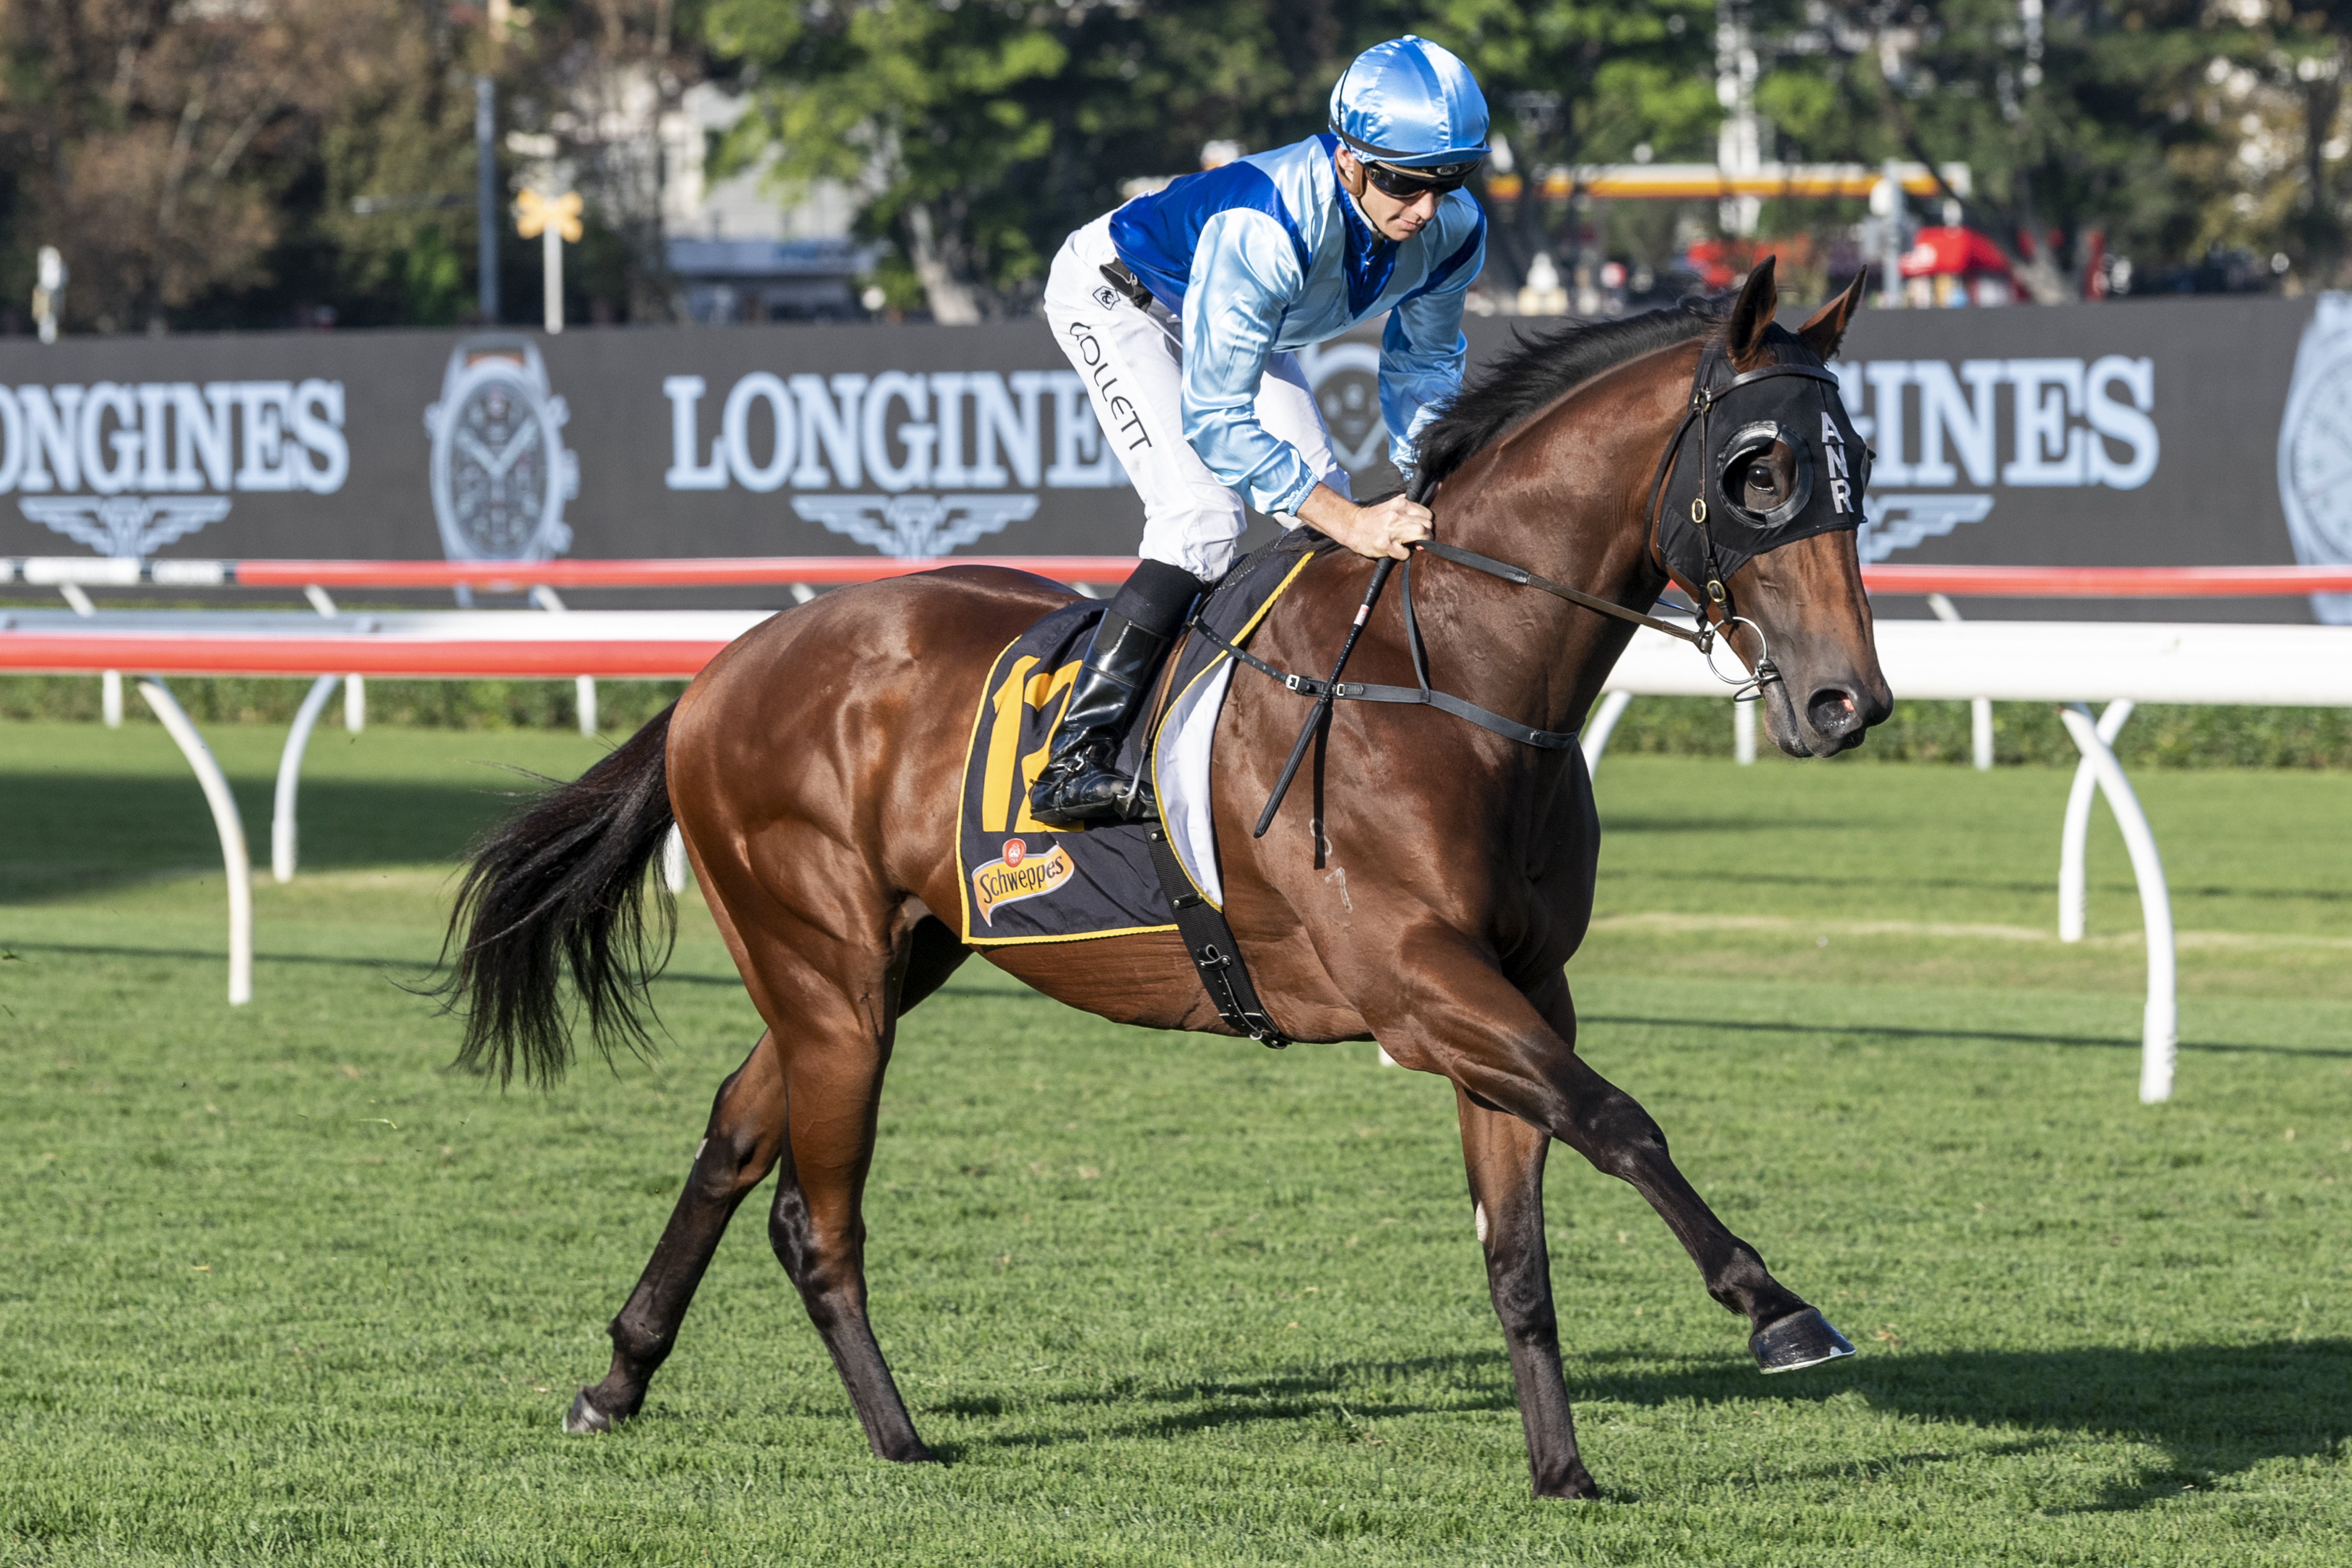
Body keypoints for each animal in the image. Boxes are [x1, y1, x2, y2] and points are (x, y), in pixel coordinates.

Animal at [442, 263, 1891, 1504]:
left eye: (1856, 465)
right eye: (1756, 470)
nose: (1848, 703)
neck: (1455, 676)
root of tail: (717, 671)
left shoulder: (1523, 985)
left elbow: (1517, 1247)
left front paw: (1562, 1470)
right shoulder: (1415, 985)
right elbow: (1618, 1119)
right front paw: (1775, 1308)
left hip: (882, 962)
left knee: (736, 1138)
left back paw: (617, 1379)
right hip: (828, 975)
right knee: (815, 1212)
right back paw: (897, 1436)